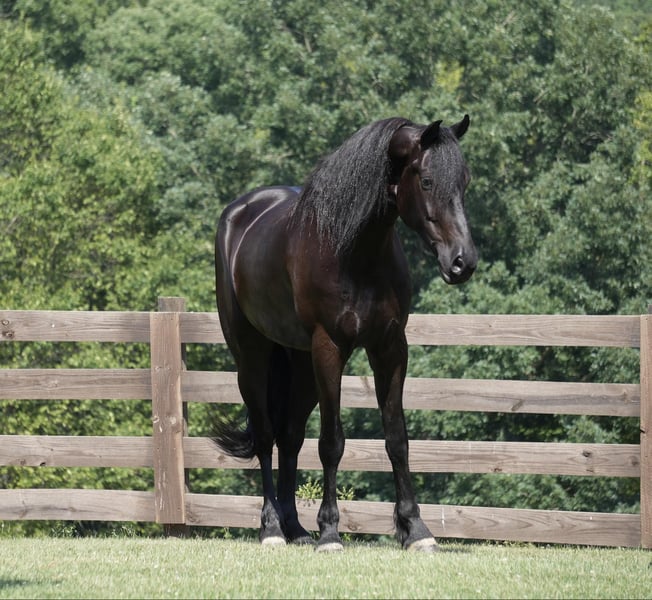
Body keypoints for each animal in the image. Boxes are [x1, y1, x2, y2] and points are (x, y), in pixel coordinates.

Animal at [214, 115, 477, 552]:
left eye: (464, 182)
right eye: (426, 181)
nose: (462, 262)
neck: (356, 250)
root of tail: (239, 214)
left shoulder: (390, 347)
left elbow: (396, 438)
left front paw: (415, 529)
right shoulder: (330, 347)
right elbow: (331, 442)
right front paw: (330, 531)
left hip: (301, 363)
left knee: (289, 436)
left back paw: (295, 528)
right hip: (252, 357)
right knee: (267, 435)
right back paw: (272, 528)